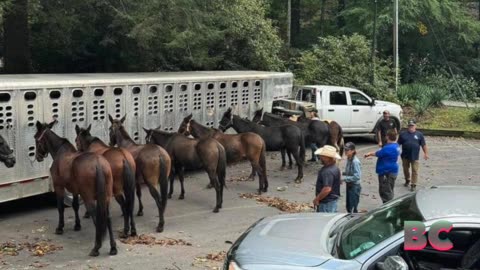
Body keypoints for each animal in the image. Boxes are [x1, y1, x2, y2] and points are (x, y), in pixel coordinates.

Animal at [34, 121, 116, 258]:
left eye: (36, 138)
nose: (38, 156)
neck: (60, 152)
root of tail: (98, 163)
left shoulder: (59, 186)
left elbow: (60, 207)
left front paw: (60, 227)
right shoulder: (75, 190)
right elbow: (75, 205)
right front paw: (77, 225)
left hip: (89, 198)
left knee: (97, 217)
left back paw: (96, 247)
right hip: (106, 197)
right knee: (108, 217)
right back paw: (113, 247)